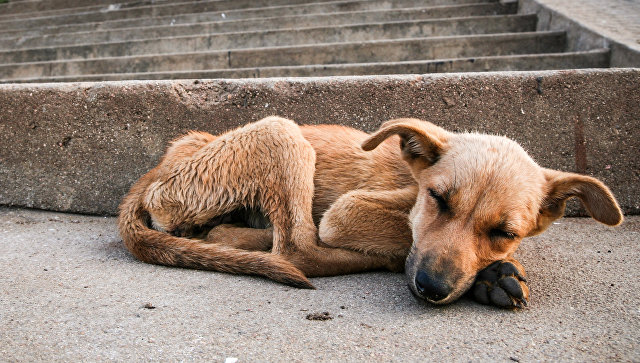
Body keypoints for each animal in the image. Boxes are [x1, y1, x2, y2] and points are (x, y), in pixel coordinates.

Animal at [117, 117, 624, 310]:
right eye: (439, 199)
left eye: (504, 231)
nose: (432, 288)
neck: (412, 180)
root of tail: (159, 167)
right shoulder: (347, 211)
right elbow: (403, 238)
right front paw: (490, 275)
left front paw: (493, 271)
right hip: (281, 132)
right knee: (298, 249)